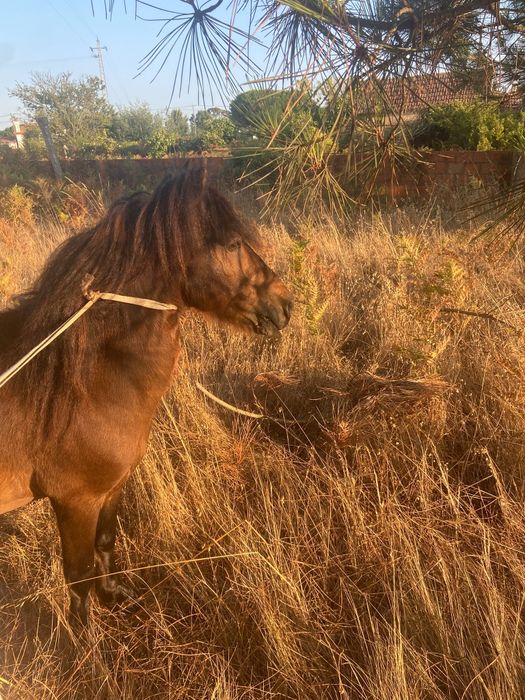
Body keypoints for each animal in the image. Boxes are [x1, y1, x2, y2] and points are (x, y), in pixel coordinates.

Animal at [0, 167, 292, 626]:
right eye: (231, 244)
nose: (286, 305)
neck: (77, 384)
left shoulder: (111, 489)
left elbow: (106, 543)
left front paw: (116, 595)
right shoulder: (74, 501)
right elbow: (78, 577)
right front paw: (85, 640)